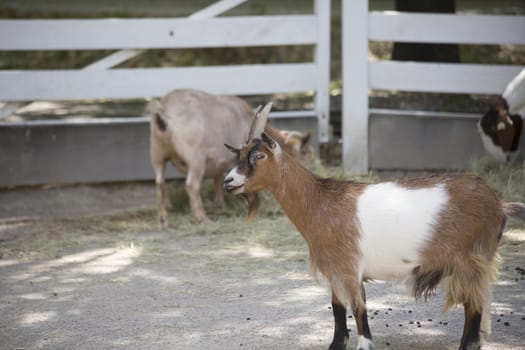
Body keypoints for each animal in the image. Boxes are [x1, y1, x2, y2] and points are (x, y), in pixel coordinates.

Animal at [222, 102, 524, 350]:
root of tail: (498, 204)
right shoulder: (335, 270)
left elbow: (359, 312)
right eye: (239, 155)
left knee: (474, 311)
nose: (228, 181)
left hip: (470, 260)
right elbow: (337, 309)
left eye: (259, 156)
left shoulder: (349, 268)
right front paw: (336, 344)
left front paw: (363, 343)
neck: (319, 202)